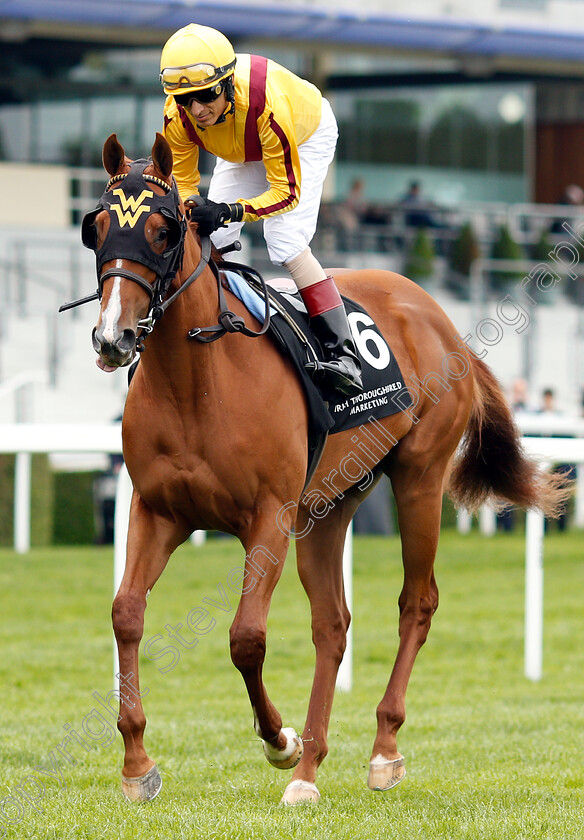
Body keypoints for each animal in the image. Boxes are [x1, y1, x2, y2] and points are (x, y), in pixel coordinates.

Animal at [82, 133, 564, 808]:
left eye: (161, 229)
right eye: (97, 228)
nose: (113, 337)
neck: (197, 380)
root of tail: (438, 317)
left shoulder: (268, 517)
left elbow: (246, 637)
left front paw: (277, 740)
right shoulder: (158, 510)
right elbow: (126, 613)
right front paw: (136, 764)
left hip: (418, 479)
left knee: (417, 602)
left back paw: (379, 750)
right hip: (328, 507)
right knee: (332, 625)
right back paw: (310, 770)